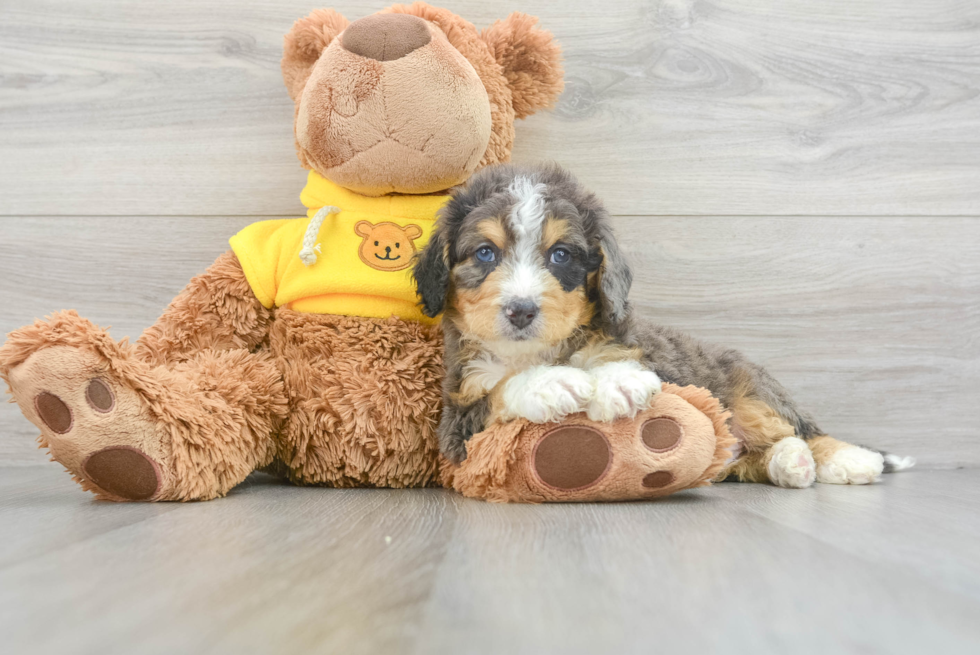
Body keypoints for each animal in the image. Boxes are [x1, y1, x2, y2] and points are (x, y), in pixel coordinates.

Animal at [412, 164, 912, 486]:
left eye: (560, 255)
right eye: (485, 253)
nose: (520, 310)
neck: (536, 351)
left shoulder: (639, 352)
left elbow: (620, 364)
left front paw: (616, 383)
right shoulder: (458, 420)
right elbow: (499, 391)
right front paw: (548, 384)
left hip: (752, 392)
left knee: (801, 428)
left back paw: (848, 459)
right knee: (759, 456)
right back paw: (791, 464)